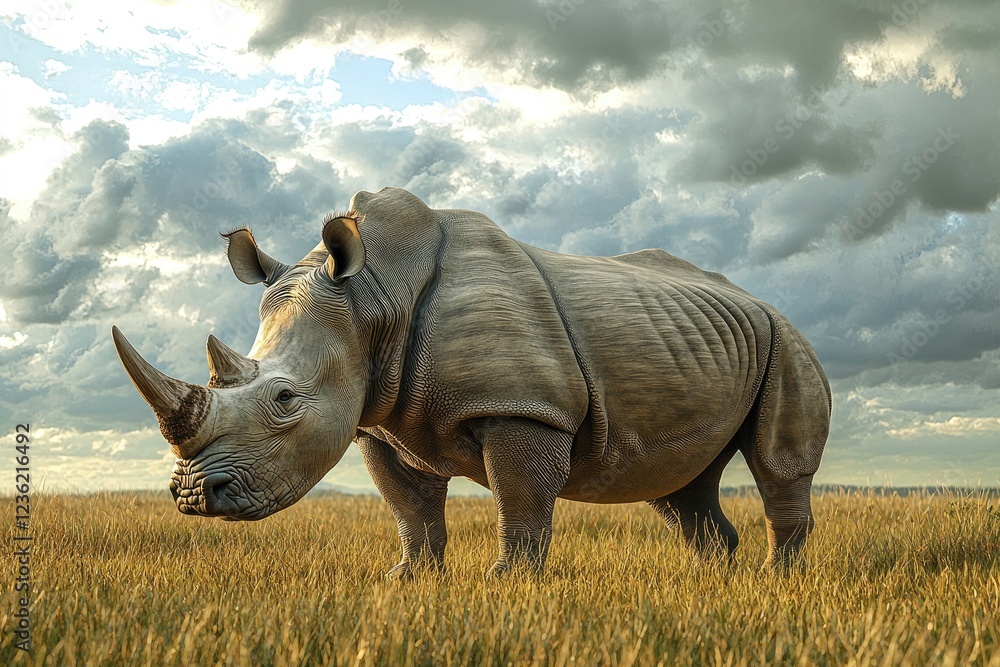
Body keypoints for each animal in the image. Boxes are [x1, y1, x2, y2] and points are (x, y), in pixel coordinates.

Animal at [113, 187, 831, 576]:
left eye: (285, 399)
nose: (191, 496)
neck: (373, 298)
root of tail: (762, 301)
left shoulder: (524, 406)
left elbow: (522, 503)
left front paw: (507, 584)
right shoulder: (378, 421)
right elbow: (411, 511)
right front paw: (407, 580)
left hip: (790, 341)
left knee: (776, 463)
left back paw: (776, 581)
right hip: (706, 341)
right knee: (679, 485)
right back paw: (717, 580)